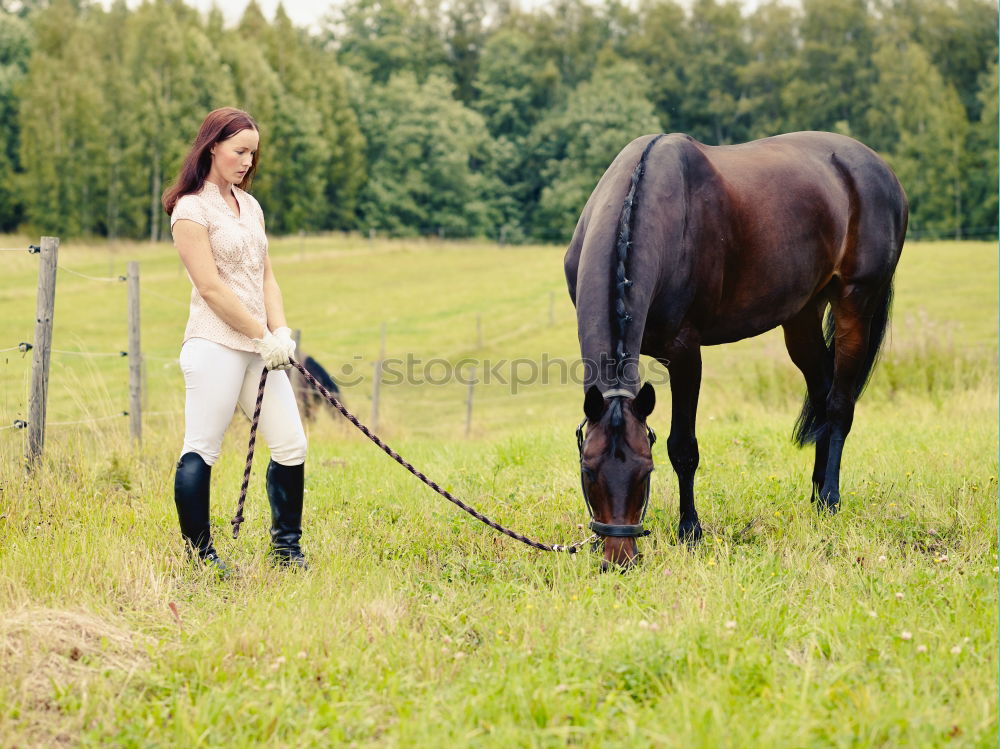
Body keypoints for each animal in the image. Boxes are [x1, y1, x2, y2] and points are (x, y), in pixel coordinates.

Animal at [568, 133, 912, 568]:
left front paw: (690, 532)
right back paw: (816, 494)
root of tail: (880, 169)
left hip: (855, 304)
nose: (620, 560)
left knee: (838, 405)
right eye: (588, 471)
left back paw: (830, 501)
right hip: (802, 315)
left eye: (646, 472)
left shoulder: (685, 352)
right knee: (821, 393)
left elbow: (683, 447)